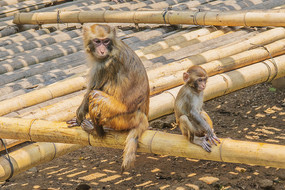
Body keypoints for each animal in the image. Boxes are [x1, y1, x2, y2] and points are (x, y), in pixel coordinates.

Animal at [67, 23, 150, 171]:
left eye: (106, 41)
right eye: (97, 41)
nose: (102, 50)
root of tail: (142, 116)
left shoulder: (105, 65)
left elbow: (91, 90)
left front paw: (78, 117)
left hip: (121, 118)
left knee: (95, 95)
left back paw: (96, 131)